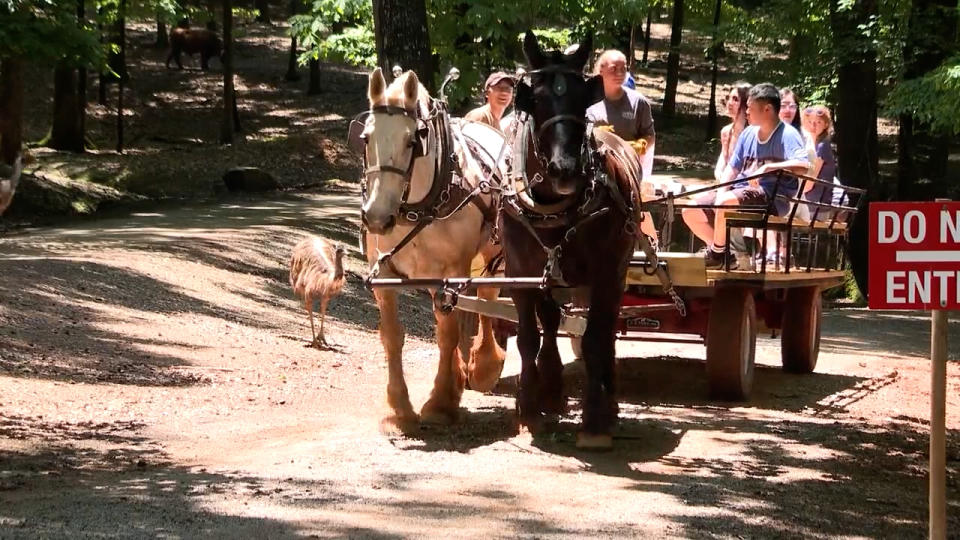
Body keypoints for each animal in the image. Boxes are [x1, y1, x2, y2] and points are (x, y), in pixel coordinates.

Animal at [360, 68, 506, 430]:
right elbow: (393, 336)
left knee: (487, 301)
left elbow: (448, 335)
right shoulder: (384, 272)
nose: (376, 217)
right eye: (366, 138)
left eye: (413, 141)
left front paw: (440, 403)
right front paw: (400, 407)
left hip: (494, 250)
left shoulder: (452, 271)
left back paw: (483, 365)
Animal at [502, 31, 644, 450]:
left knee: (607, 331)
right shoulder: (520, 273)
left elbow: (596, 339)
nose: (564, 169)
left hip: (617, 272)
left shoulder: (605, 274)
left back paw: (608, 402)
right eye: (535, 99)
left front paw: (595, 419)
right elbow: (528, 337)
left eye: (583, 99)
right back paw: (550, 388)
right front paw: (529, 408)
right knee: (551, 322)